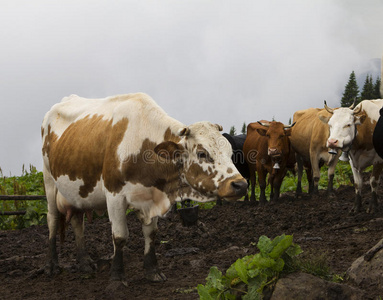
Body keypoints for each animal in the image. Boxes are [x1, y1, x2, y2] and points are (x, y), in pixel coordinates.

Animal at [40, 92, 248, 282]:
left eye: (230, 151)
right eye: (202, 153)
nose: (240, 184)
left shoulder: (152, 195)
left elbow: (151, 233)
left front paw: (152, 270)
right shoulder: (114, 195)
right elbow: (120, 236)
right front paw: (117, 278)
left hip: (75, 191)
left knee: (77, 220)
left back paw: (84, 262)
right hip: (49, 181)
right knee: (52, 219)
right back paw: (52, 266)